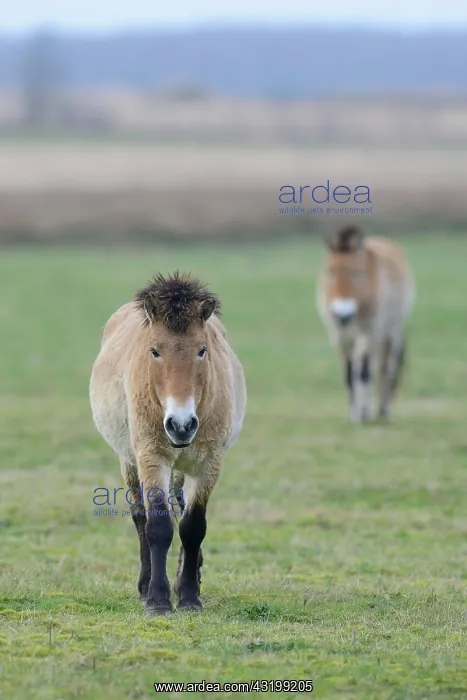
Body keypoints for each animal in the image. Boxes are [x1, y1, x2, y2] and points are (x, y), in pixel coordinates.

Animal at [89, 272, 247, 615]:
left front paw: (188, 596)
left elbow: (192, 526)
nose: (181, 424)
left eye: (202, 350)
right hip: (130, 461)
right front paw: (158, 600)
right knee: (140, 517)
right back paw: (144, 586)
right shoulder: (152, 457)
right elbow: (158, 526)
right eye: (155, 351)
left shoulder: (209, 463)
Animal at [316, 225, 415, 422]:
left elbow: (364, 372)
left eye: (357, 273)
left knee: (386, 367)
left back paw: (383, 409)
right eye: (331, 272)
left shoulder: (369, 333)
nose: (343, 315)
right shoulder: (340, 336)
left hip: (390, 333)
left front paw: (365, 413)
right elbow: (349, 373)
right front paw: (354, 414)